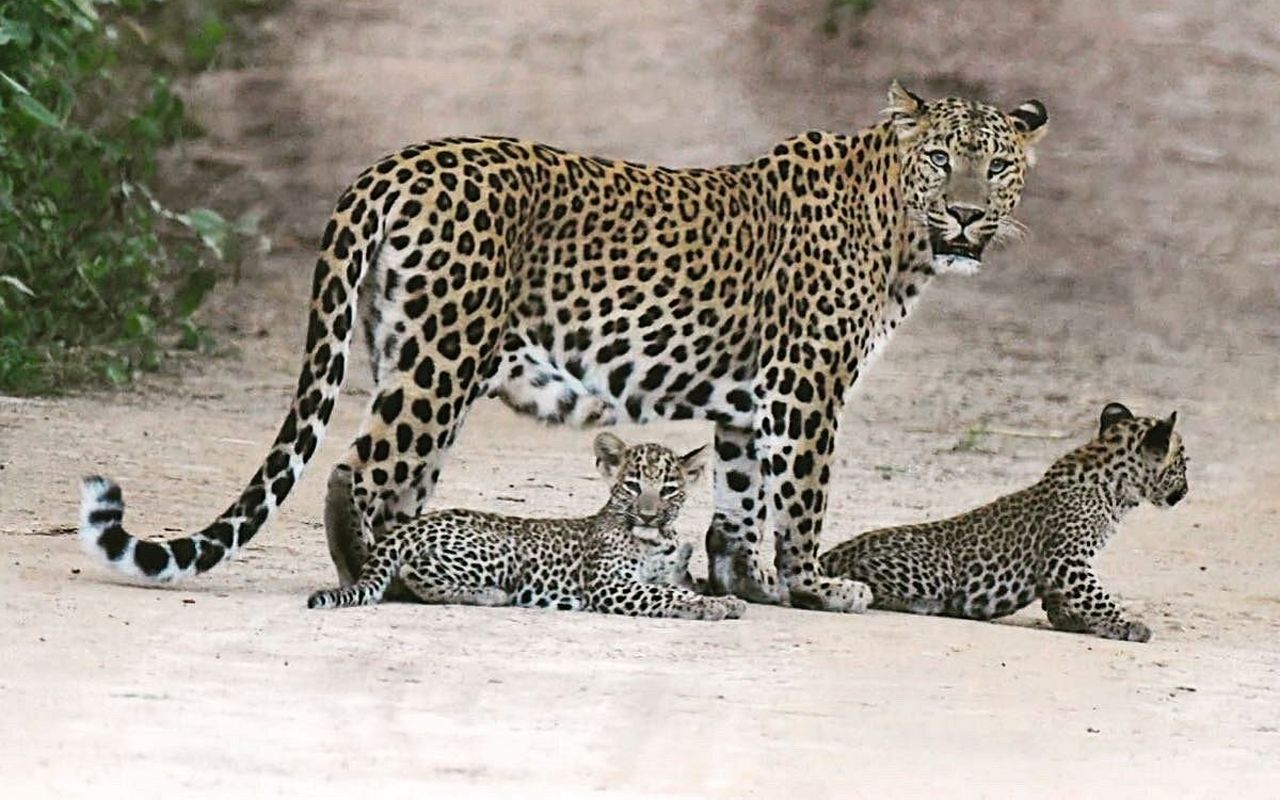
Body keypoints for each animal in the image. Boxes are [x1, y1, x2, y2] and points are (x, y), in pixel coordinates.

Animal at [302, 433, 743, 620]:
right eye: (632, 486)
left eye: (668, 490)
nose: (649, 515)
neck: (653, 539)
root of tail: (411, 527)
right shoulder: (610, 586)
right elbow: (663, 595)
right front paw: (717, 605)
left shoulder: (657, 575)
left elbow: (672, 587)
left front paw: (719, 600)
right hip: (498, 551)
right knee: (413, 574)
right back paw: (492, 595)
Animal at [819, 403, 1189, 642]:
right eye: (1182, 466)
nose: (1186, 491)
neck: (1117, 488)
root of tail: (835, 551)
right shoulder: (1067, 559)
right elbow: (1095, 595)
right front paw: (1125, 624)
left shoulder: (1062, 564)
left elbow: (1069, 598)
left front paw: (1072, 620)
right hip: (936, 571)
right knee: (861, 580)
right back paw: (921, 603)